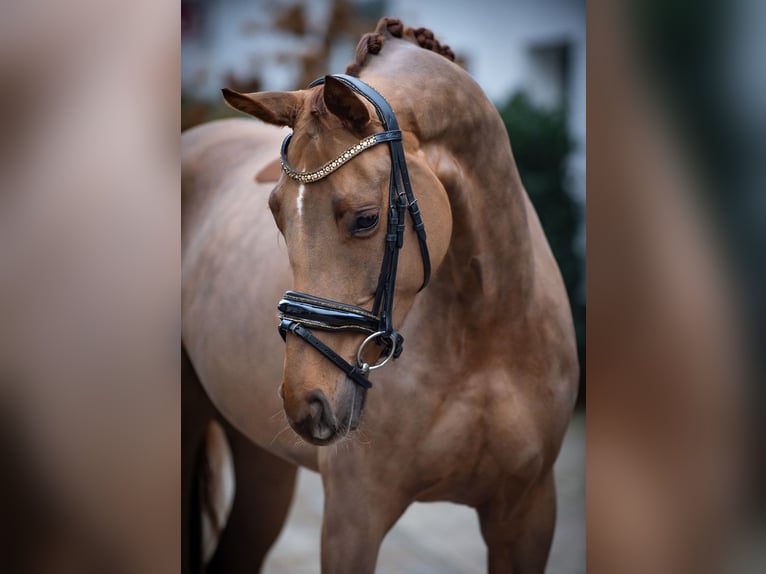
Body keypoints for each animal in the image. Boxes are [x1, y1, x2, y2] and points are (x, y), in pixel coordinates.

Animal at [183, 18, 580, 574]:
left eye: (366, 218)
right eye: (276, 213)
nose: (306, 401)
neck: (487, 333)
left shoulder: (527, 512)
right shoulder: (355, 517)